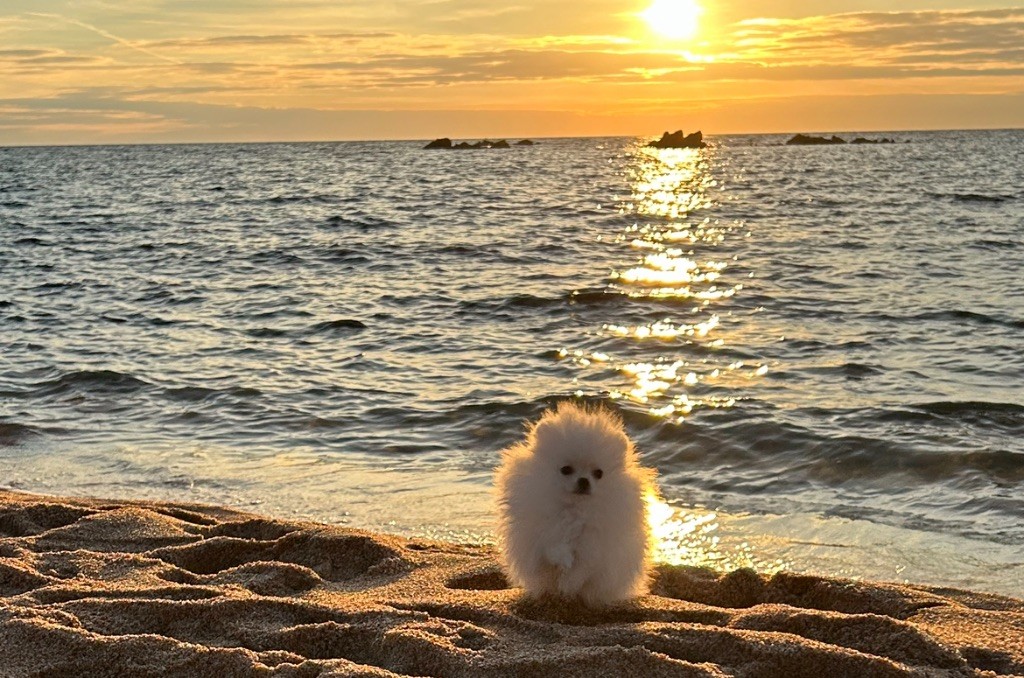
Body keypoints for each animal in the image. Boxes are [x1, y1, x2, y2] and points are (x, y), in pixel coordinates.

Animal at [495, 403, 655, 606]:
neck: (574, 510)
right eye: (566, 470)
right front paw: (563, 562)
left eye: (599, 473)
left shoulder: (593, 546)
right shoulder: (544, 533)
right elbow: (553, 550)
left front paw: (568, 586)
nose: (584, 481)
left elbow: (580, 570)